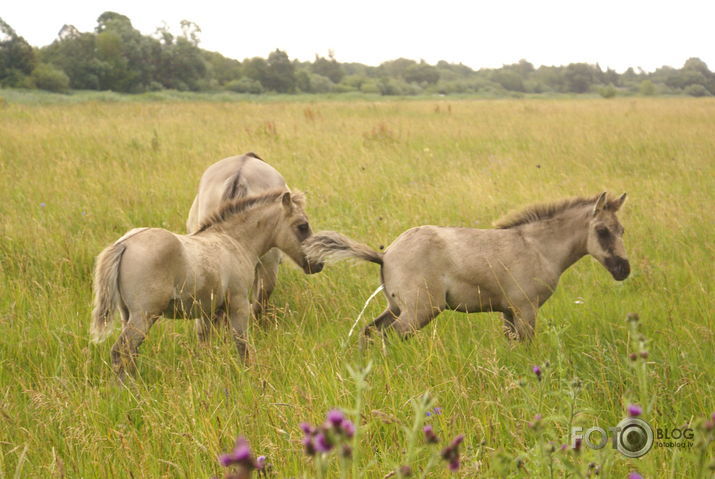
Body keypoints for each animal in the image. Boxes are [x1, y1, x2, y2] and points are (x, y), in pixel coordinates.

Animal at [304, 191, 628, 342]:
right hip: (420, 310)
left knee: (370, 332)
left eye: (621, 229)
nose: (624, 269)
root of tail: (386, 255)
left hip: (396, 307)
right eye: (602, 231)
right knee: (390, 335)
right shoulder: (526, 309)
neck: (536, 246)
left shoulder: (508, 311)